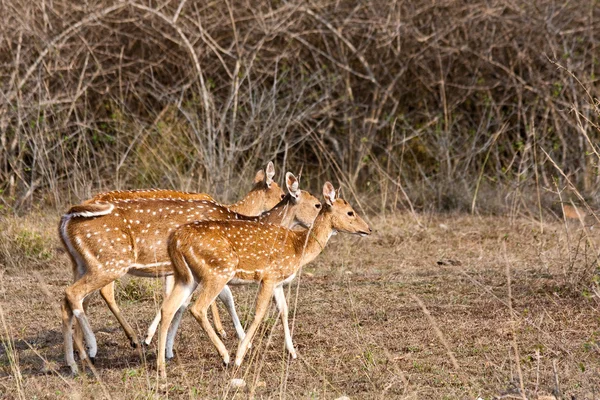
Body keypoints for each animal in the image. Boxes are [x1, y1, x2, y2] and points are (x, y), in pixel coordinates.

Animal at [61, 172, 322, 376]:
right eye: (317, 204)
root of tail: (65, 220)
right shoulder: (215, 267)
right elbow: (222, 298)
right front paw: (238, 341)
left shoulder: (184, 272)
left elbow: (179, 304)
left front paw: (167, 348)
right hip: (111, 262)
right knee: (81, 294)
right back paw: (97, 347)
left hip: (82, 264)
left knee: (70, 299)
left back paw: (76, 360)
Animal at [158, 183, 376, 376]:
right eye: (350, 212)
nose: (369, 229)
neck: (298, 248)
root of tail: (176, 239)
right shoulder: (269, 276)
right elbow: (260, 313)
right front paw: (240, 356)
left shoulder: (278, 282)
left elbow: (284, 310)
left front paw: (292, 352)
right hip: (218, 271)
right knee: (197, 307)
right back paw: (226, 356)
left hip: (187, 276)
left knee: (168, 307)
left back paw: (161, 366)